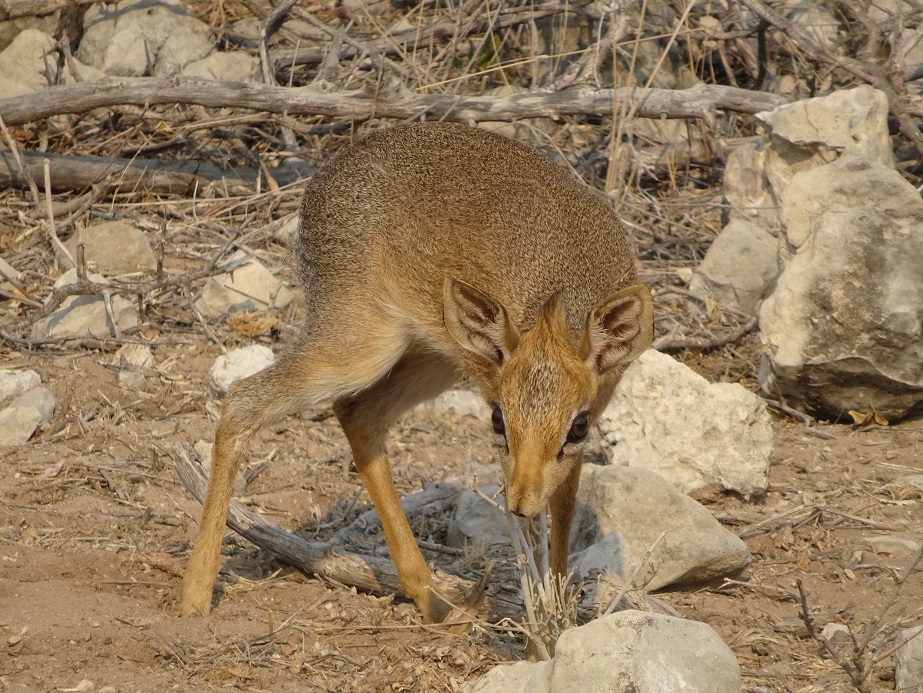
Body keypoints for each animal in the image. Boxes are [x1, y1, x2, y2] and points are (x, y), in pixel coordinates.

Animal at [180, 123, 652, 620]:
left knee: (357, 414)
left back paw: (430, 595)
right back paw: (195, 594)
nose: (521, 502)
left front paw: (555, 619)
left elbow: (562, 513)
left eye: (577, 426)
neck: (557, 301)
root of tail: (325, 179)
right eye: (497, 419)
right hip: (362, 346)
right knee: (244, 399)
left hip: (432, 359)